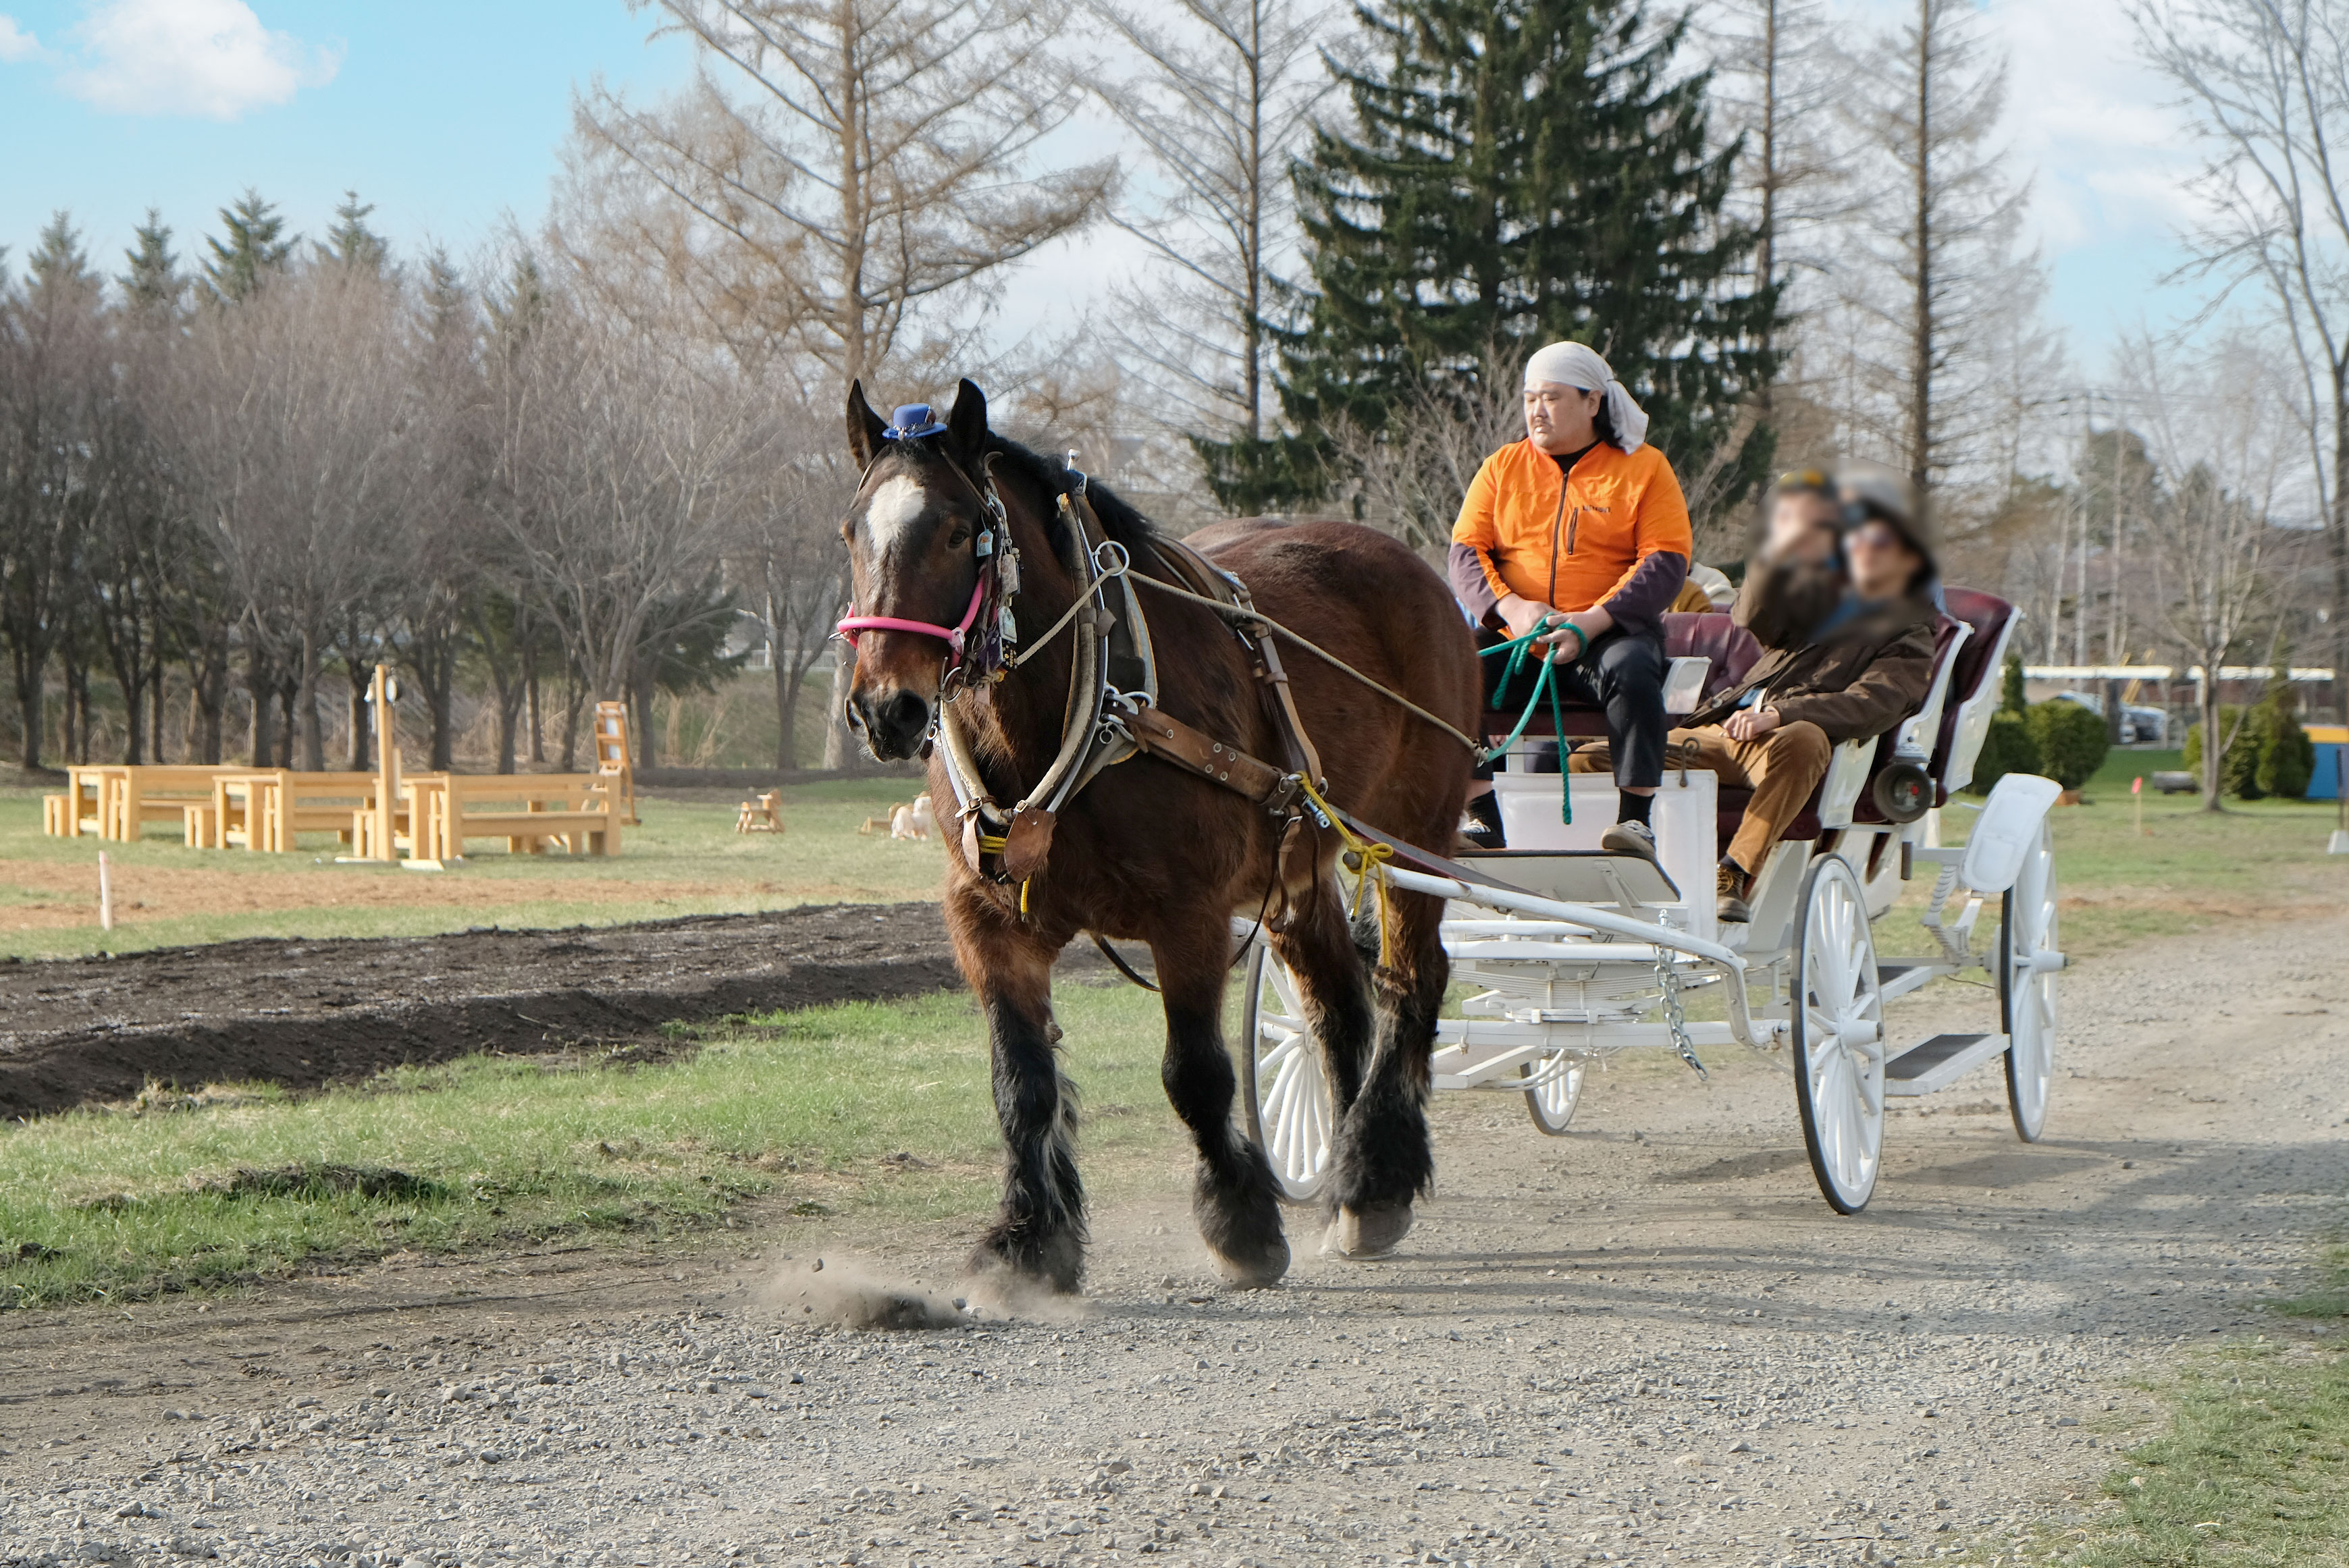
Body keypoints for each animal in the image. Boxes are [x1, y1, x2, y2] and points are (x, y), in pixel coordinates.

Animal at [838, 379, 1476, 1293]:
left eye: (960, 532)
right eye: (852, 532)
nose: (885, 707)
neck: (1085, 704)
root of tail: (1406, 563)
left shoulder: (1189, 914)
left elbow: (1195, 1074)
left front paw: (1239, 1221)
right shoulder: (986, 922)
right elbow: (1020, 1082)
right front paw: (1029, 1237)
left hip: (1411, 834)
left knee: (1412, 981)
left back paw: (1373, 1177)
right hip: (1299, 856)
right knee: (1336, 1003)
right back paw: (1345, 1172)